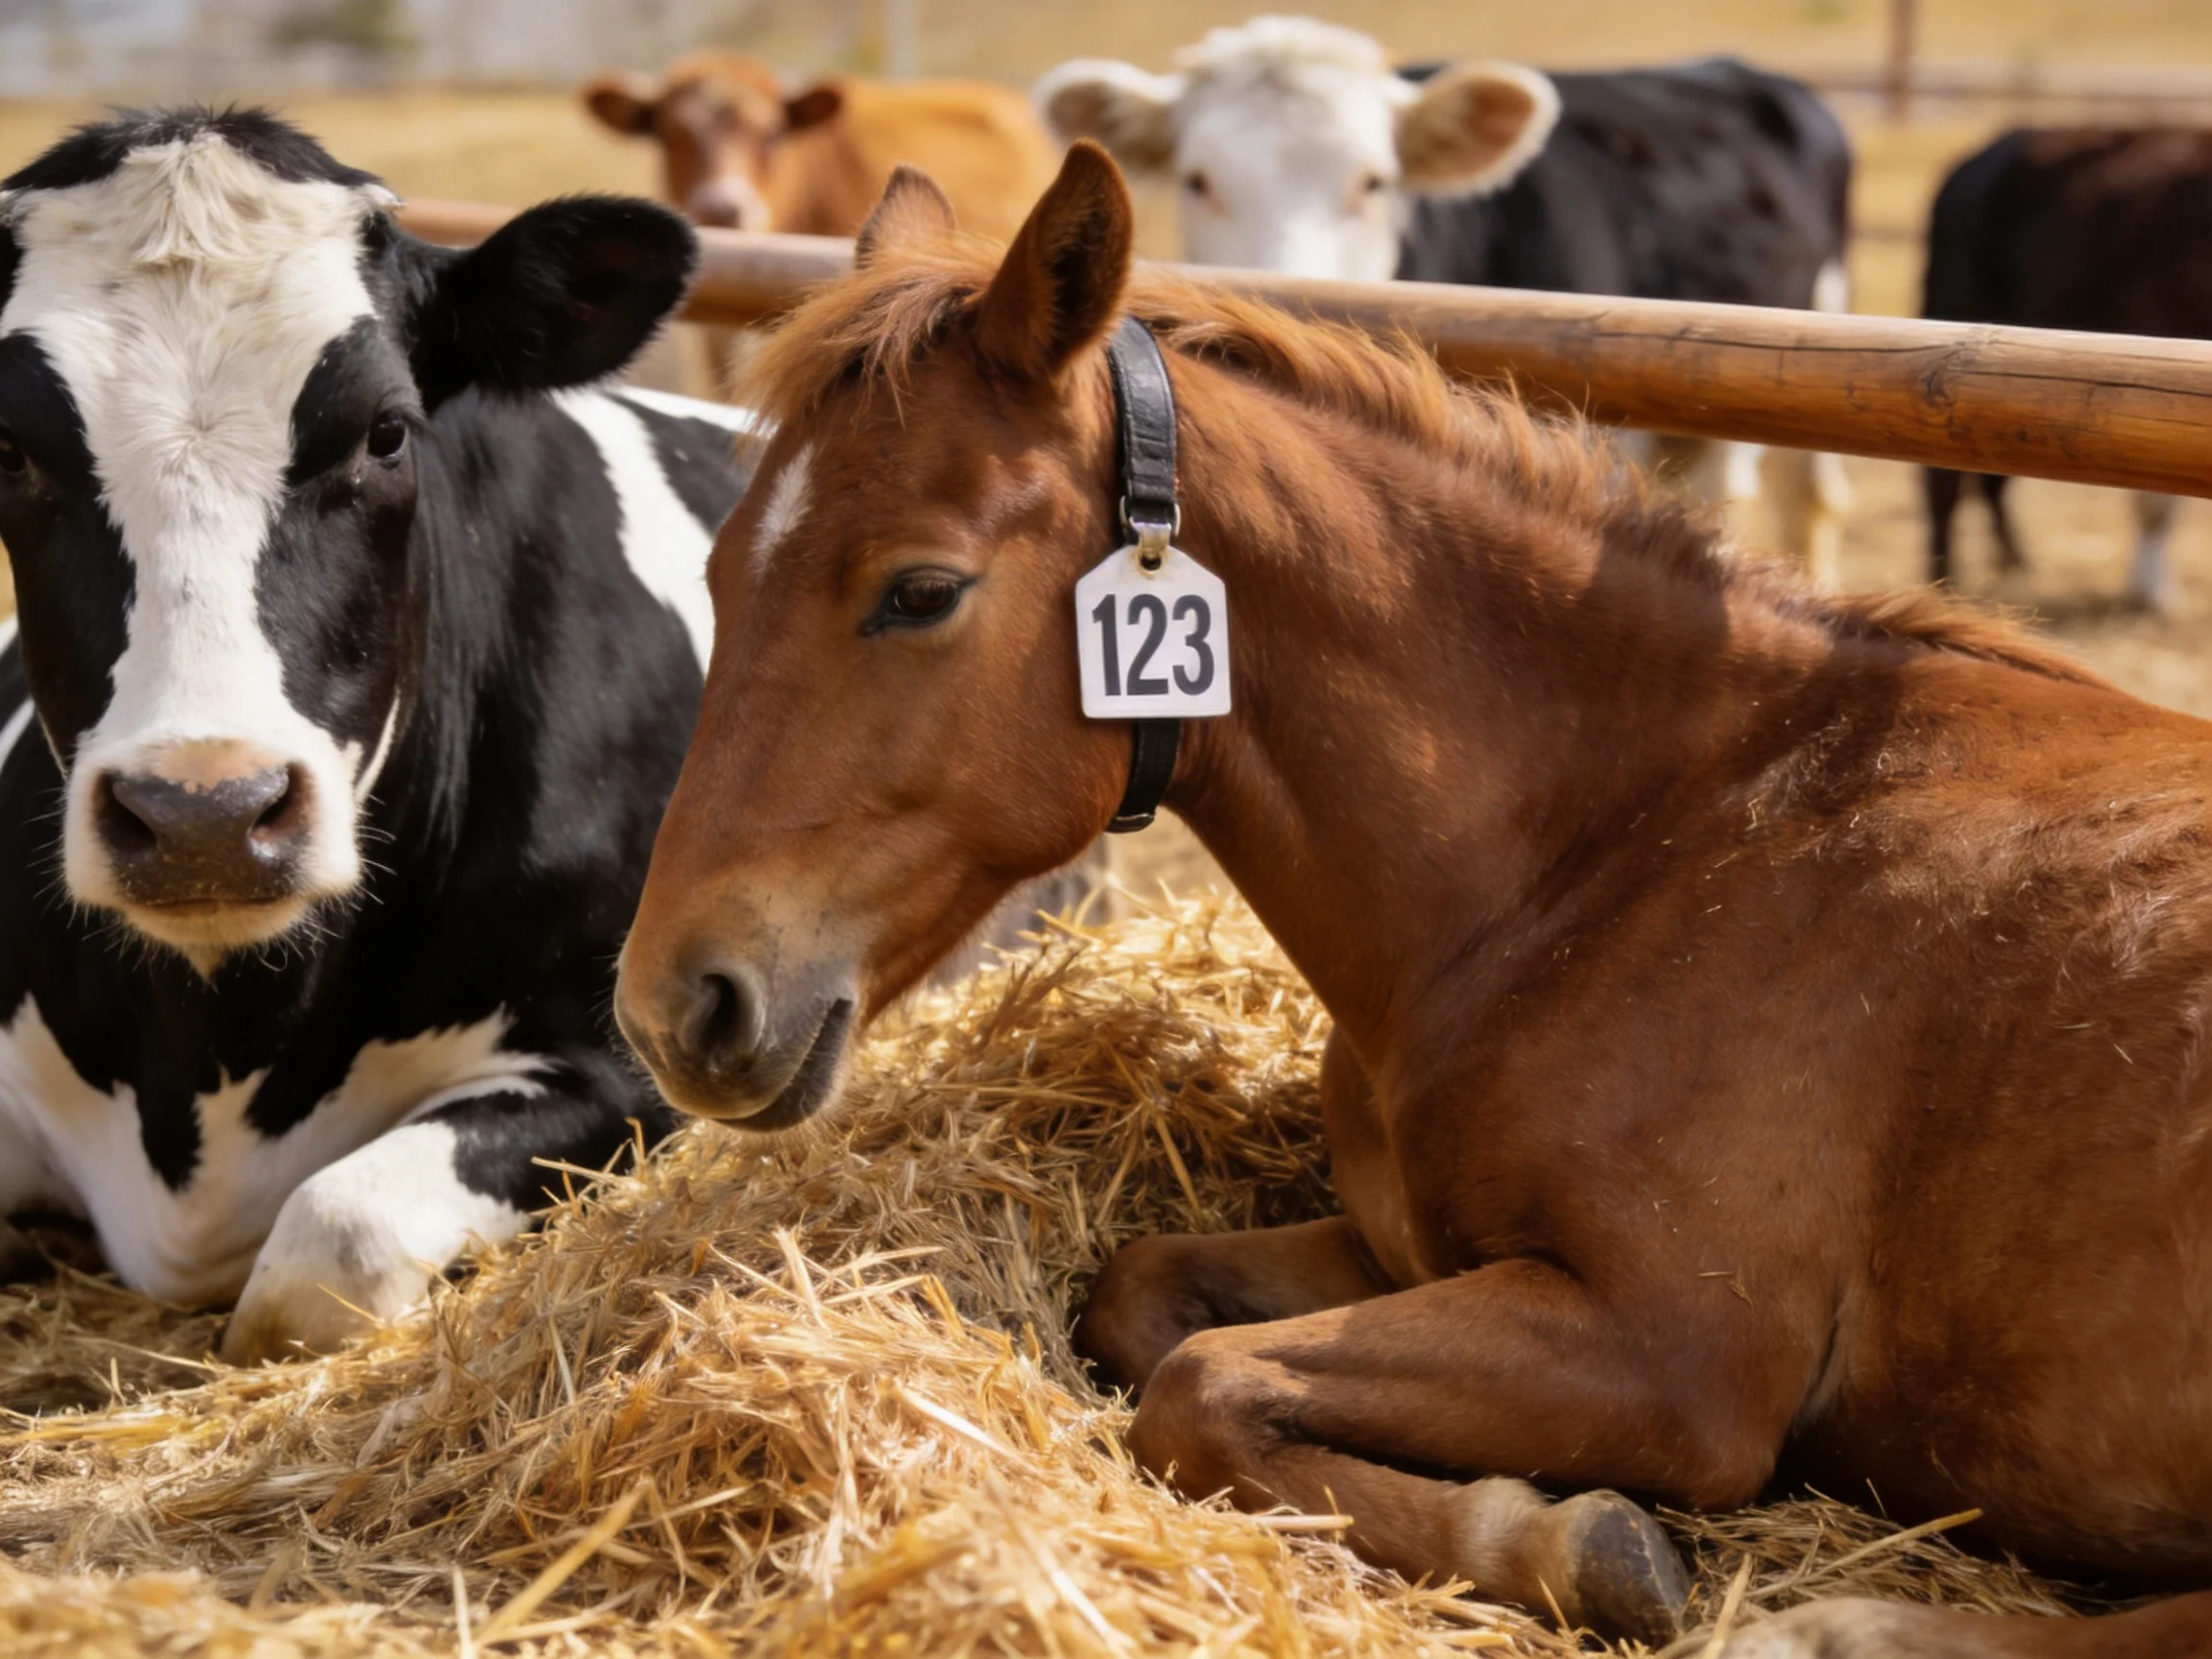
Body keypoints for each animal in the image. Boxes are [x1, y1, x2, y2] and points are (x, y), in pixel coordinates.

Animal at [1922, 128, 2212, 613]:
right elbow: (2156, 503)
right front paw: (2151, 589)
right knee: (1942, 482)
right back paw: (1944, 582)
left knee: (1988, 479)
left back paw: (2013, 560)